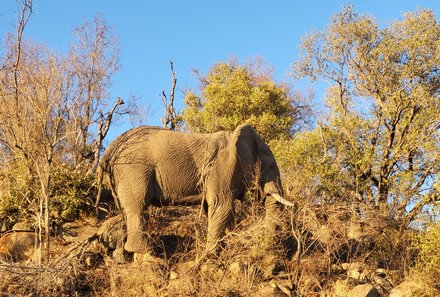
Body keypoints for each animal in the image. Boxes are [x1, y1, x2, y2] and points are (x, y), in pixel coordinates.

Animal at [97, 123, 290, 253]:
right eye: (271, 167)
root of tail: (108, 152)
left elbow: (213, 209)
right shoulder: (221, 167)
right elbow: (222, 205)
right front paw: (211, 253)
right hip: (133, 169)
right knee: (137, 206)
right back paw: (146, 251)